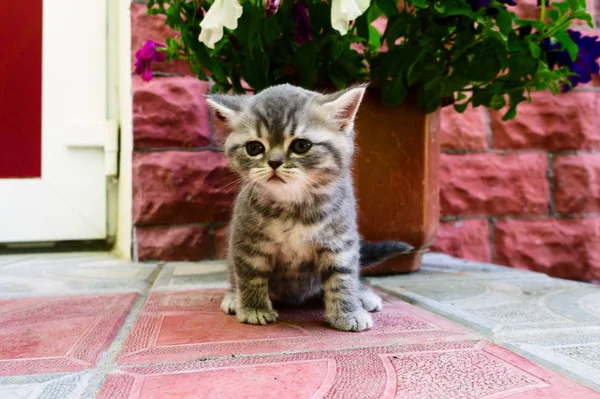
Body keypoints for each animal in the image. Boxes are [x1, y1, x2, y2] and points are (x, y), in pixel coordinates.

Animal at [207, 85, 412, 334]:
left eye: (301, 145)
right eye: (254, 148)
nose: (274, 162)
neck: (293, 207)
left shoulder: (341, 242)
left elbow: (343, 277)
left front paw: (348, 313)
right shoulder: (245, 241)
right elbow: (250, 275)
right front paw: (254, 309)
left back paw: (363, 295)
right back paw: (232, 296)